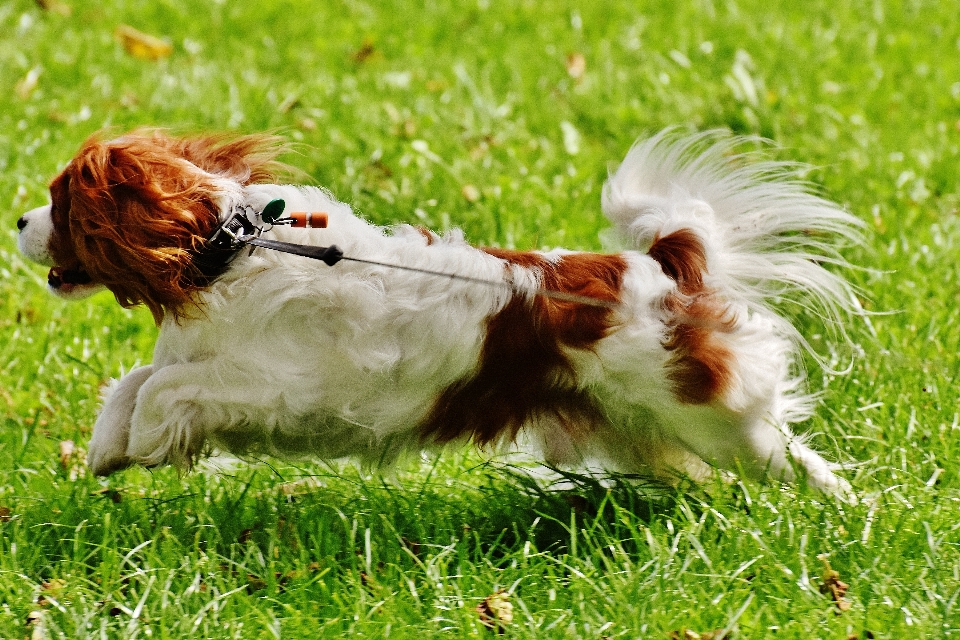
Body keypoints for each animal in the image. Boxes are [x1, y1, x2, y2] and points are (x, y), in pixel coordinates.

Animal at [15, 129, 860, 496]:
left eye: (63, 202)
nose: (18, 220)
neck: (230, 253)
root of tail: (663, 266)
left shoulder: (274, 388)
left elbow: (163, 388)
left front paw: (143, 444)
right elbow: (132, 382)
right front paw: (108, 449)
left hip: (718, 421)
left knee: (799, 463)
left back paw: (841, 519)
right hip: (641, 430)